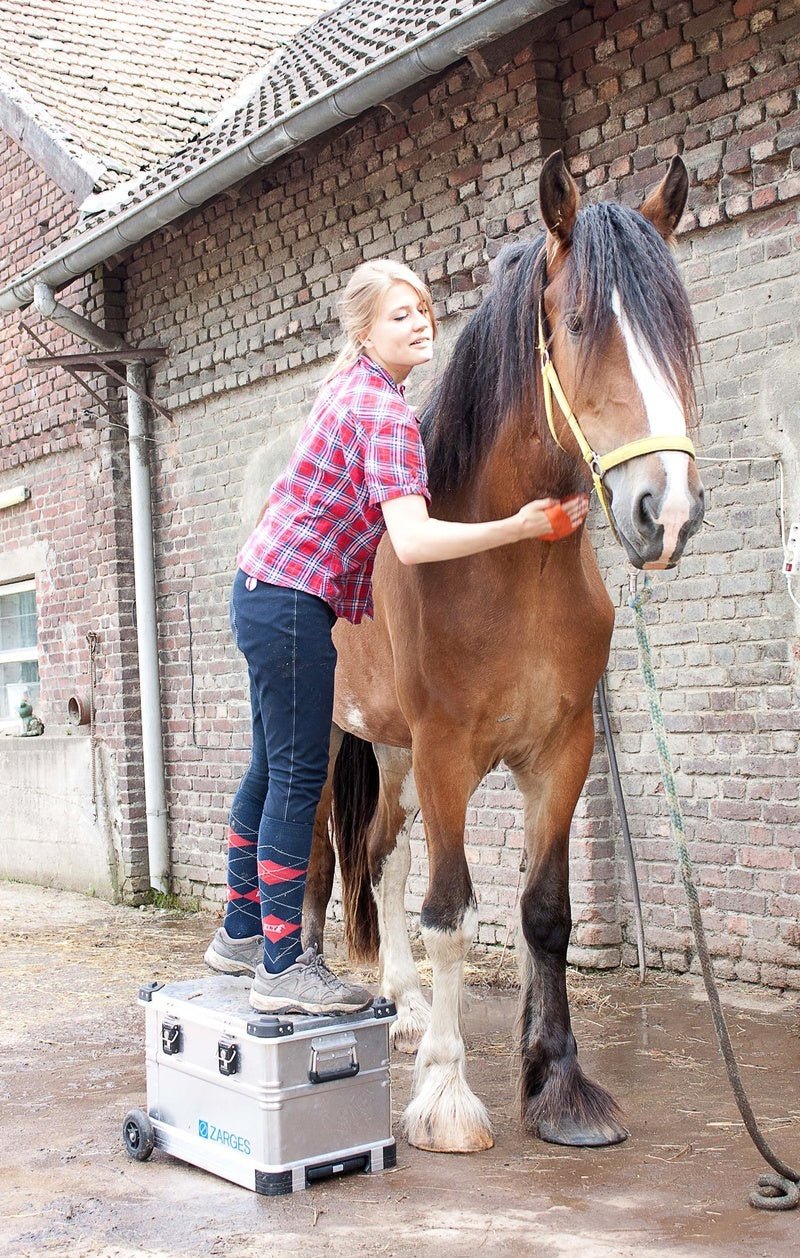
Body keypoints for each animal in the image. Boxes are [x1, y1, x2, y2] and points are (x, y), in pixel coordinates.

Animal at [301, 151, 705, 1154]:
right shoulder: (449, 753)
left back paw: (404, 1008)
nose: (667, 511)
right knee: (322, 863)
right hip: (329, 742)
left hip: (394, 752)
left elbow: (544, 913)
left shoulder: (560, 752)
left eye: (678, 330)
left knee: (382, 855)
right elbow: (453, 915)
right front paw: (448, 1101)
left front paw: (558, 1087)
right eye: (577, 324)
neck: (503, 567)